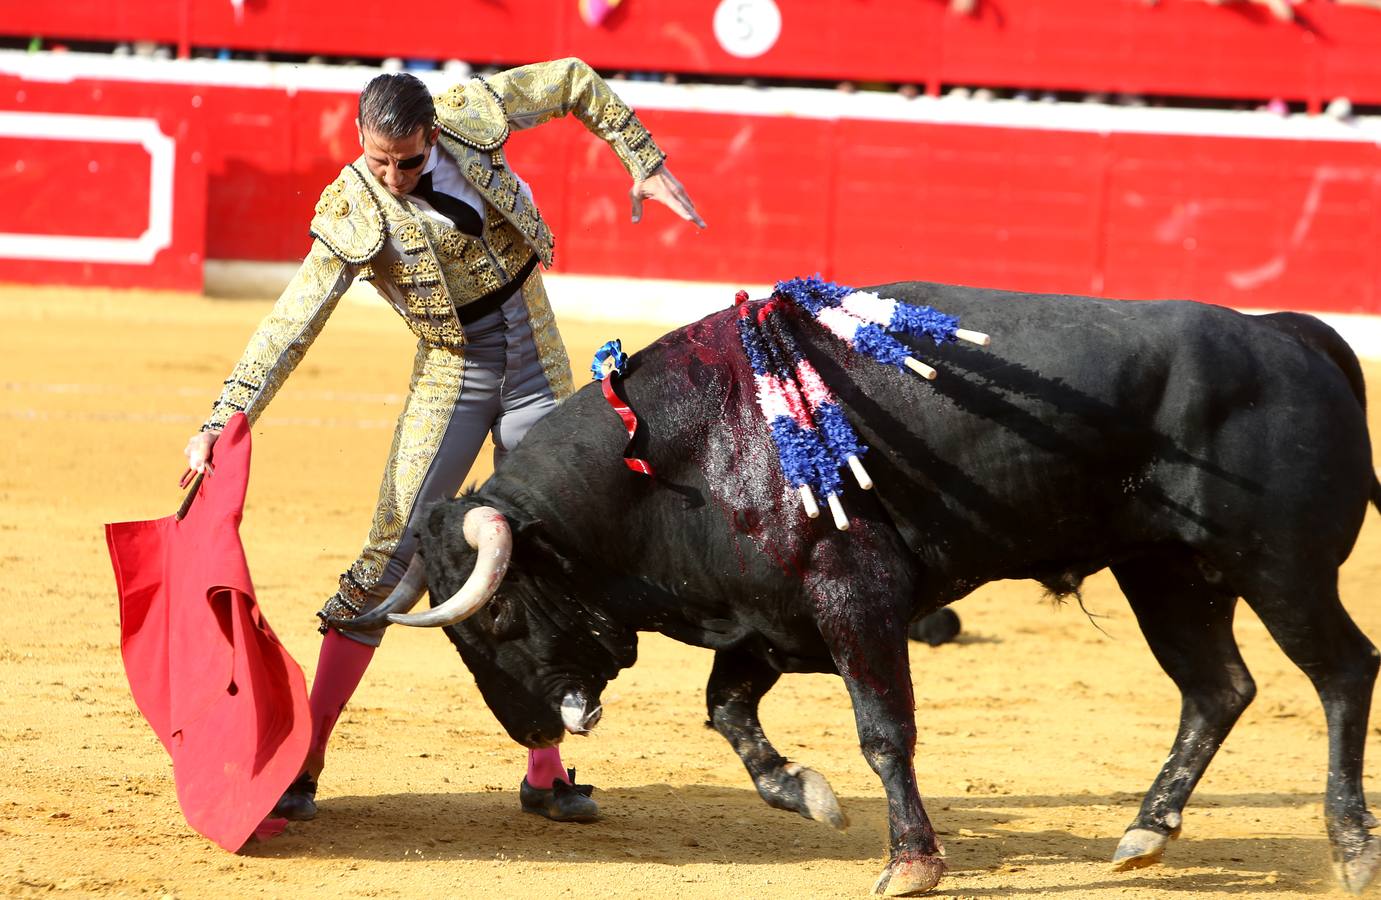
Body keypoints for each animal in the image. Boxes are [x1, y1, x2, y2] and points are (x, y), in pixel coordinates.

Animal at [348, 278, 1381, 894]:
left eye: (497, 615)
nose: (527, 729)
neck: (684, 453)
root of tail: (1290, 338)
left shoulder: (855, 597)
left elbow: (884, 731)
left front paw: (909, 862)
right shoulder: (767, 620)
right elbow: (728, 713)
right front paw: (806, 793)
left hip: (1281, 570)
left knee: (1339, 672)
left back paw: (1349, 845)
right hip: (1168, 573)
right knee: (1216, 689)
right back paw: (1145, 832)